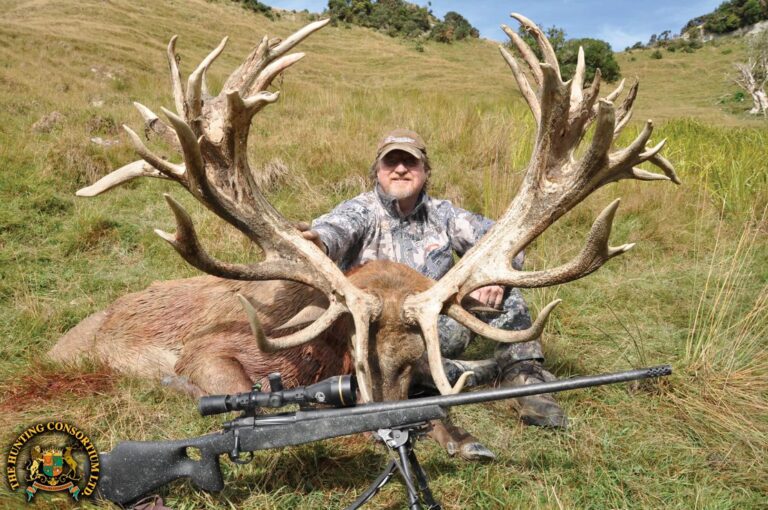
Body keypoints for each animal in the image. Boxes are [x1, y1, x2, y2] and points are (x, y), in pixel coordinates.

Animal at [49, 14, 679, 460]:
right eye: (355, 353)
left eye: (415, 361)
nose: (386, 425)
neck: (314, 356)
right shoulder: (212, 350)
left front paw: (461, 433)